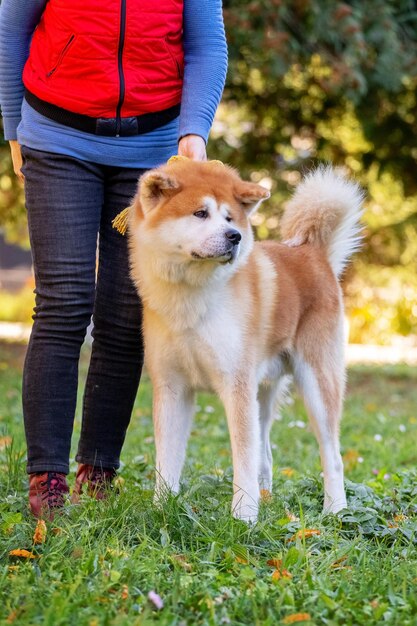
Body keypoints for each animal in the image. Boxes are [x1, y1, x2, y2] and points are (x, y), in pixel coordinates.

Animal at [124, 158, 360, 520]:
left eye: (230, 218)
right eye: (200, 213)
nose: (234, 237)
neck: (191, 297)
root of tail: (314, 254)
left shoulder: (236, 385)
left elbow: (243, 460)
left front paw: (244, 517)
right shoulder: (172, 386)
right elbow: (168, 458)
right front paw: (162, 508)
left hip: (316, 383)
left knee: (331, 456)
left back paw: (334, 511)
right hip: (262, 392)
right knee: (266, 454)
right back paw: (268, 500)